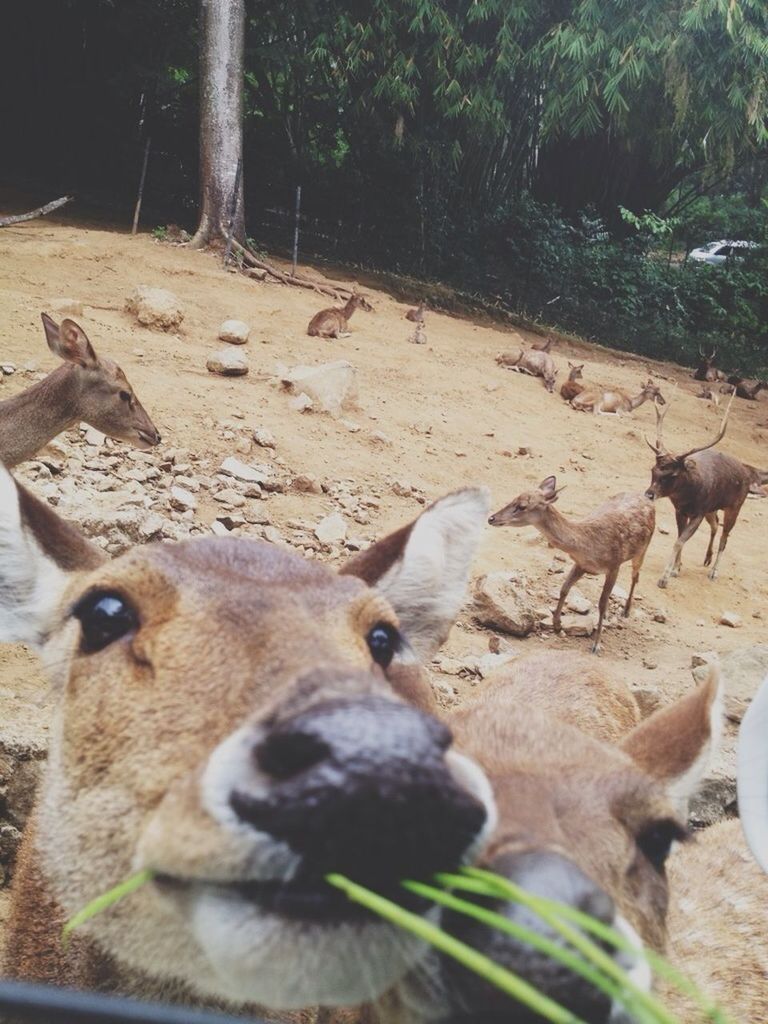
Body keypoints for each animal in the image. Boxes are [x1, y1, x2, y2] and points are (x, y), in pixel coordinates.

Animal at [489, 475, 659, 651]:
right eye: (513, 498)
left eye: (522, 506)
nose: (491, 518)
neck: (588, 548)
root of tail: (647, 498)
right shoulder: (580, 564)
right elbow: (564, 588)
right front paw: (557, 625)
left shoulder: (614, 565)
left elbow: (602, 603)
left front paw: (596, 645)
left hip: (643, 549)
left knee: (635, 576)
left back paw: (626, 611)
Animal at [643, 389, 757, 589]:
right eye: (653, 469)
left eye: (672, 474)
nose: (649, 494)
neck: (688, 496)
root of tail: (747, 473)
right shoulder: (681, 510)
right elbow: (680, 537)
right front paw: (676, 568)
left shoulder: (698, 512)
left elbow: (679, 541)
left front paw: (664, 578)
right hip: (712, 509)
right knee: (715, 524)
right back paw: (707, 559)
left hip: (735, 506)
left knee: (725, 537)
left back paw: (714, 571)